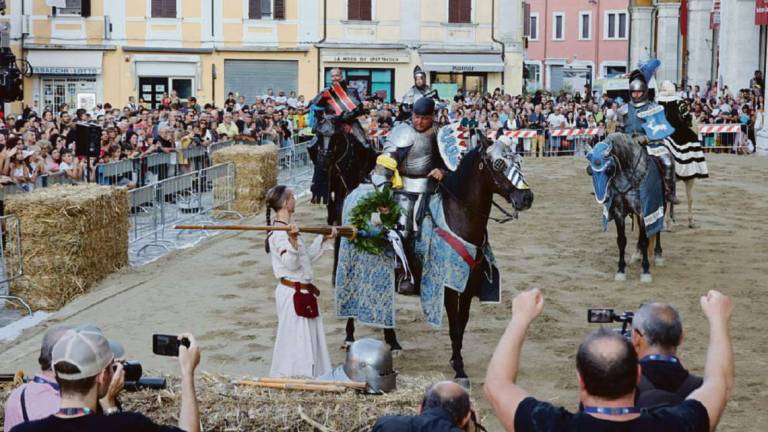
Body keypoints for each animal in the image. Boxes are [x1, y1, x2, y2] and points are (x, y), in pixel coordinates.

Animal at [344, 132, 536, 382]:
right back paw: (349, 338)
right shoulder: (448, 287)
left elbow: (461, 325)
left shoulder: (467, 285)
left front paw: (456, 359)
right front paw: (459, 369)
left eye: (519, 161)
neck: (459, 216)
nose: (526, 197)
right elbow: (454, 325)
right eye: (499, 164)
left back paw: (393, 343)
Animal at [588, 134, 664, 284]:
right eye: (590, 171)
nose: (604, 198)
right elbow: (622, 240)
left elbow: (645, 240)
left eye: (609, 169)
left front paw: (645, 271)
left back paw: (658, 255)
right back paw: (637, 254)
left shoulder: (643, 212)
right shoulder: (619, 213)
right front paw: (621, 270)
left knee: (657, 228)